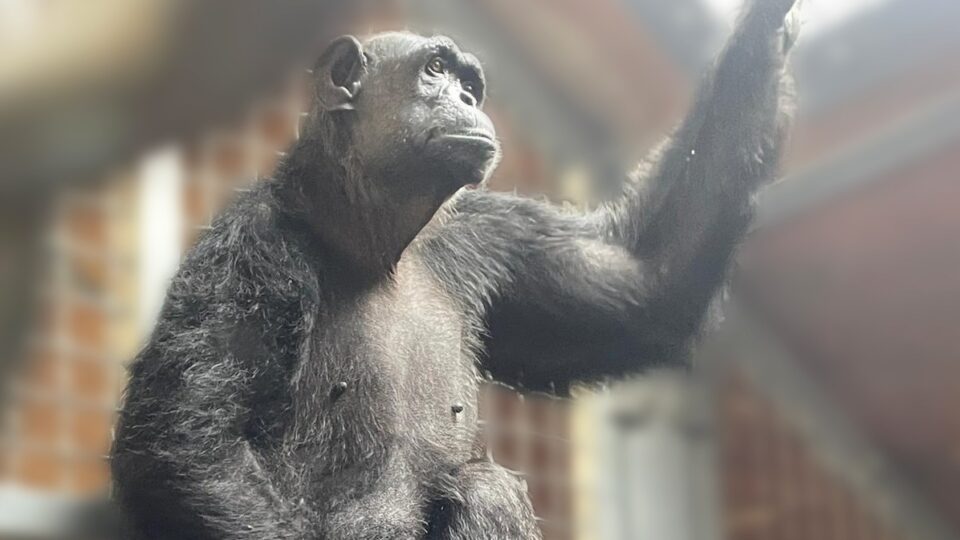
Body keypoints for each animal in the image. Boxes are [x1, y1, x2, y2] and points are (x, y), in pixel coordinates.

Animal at [111, 0, 799, 538]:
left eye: (470, 81)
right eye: (435, 69)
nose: (466, 97)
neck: (377, 240)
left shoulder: (492, 237)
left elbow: (648, 281)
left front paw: (772, 22)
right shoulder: (248, 253)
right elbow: (193, 447)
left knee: (485, 486)